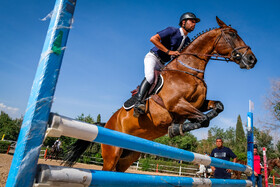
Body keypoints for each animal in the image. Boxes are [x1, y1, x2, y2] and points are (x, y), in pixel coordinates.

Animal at [64, 16, 258, 172]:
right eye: (232, 34)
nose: (252, 59)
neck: (189, 71)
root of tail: (107, 123)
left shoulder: (199, 103)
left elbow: (216, 107)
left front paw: (182, 125)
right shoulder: (176, 104)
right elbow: (203, 118)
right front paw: (177, 128)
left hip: (129, 156)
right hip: (112, 154)